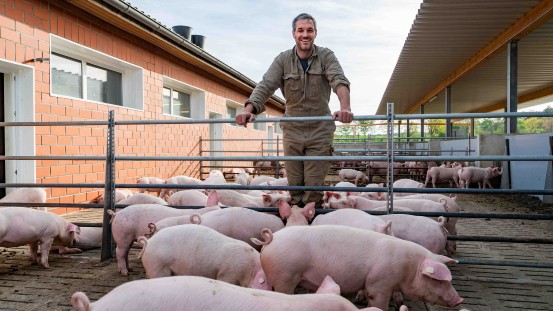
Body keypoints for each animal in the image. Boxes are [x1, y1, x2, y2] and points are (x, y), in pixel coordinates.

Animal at [252, 225, 464, 310]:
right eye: (439, 280)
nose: (459, 300)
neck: (409, 267)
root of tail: (272, 238)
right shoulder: (379, 283)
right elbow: (378, 302)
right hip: (285, 275)